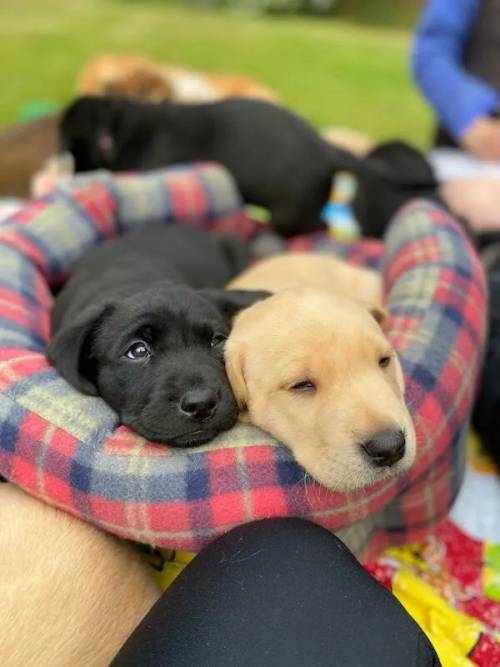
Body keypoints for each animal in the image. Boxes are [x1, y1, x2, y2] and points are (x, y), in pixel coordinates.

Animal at [58, 93, 418, 240]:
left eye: (71, 148)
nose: (72, 177)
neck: (119, 128)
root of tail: (326, 148)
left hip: (290, 213)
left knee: (314, 226)